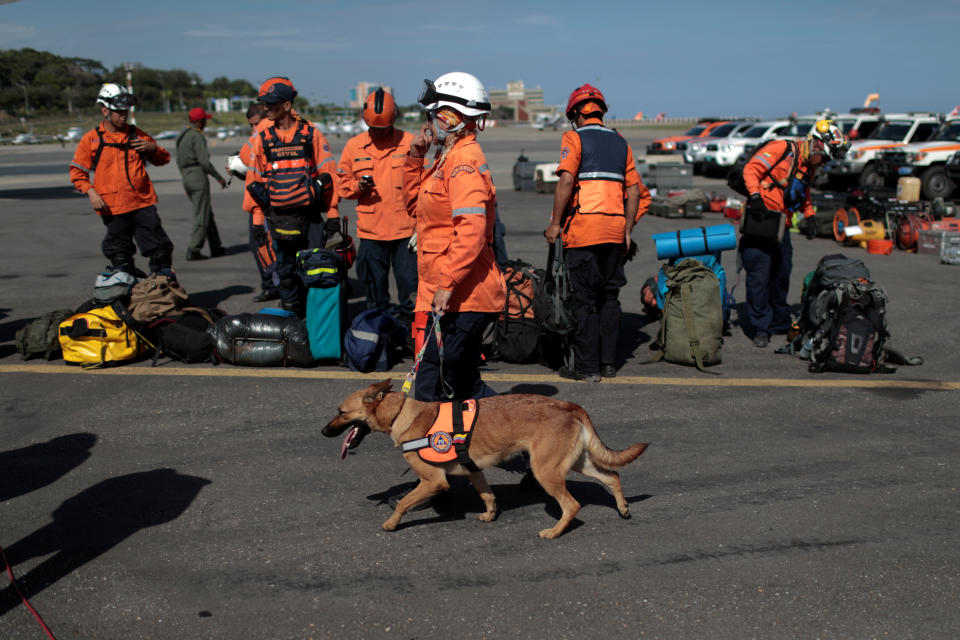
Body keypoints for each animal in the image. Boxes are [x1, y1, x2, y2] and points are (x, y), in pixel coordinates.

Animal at [318, 382, 648, 536]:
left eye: (341, 412)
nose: (322, 431)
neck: (402, 413)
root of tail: (568, 405)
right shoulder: (474, 471)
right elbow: (487, 495)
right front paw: (490, 514)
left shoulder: (433, 481)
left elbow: (403, 502)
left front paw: (391, 523)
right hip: (576, 462)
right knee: (612, 476)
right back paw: (623, 507)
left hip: (546, 471)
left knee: (573, 505)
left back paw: (555, 532)